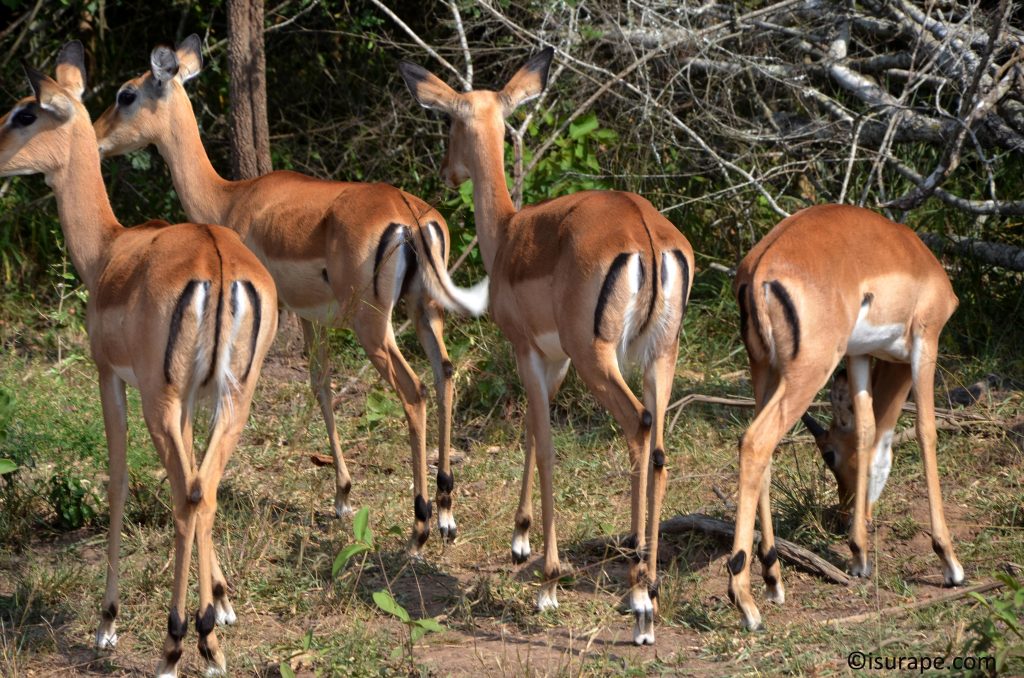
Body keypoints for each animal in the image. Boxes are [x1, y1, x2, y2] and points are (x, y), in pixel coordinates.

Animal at [0, 43, 278, 676]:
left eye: (24, 113)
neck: (108, 251)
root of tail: (218, 262)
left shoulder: (111, 378)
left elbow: (119, 480)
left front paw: (107, 624)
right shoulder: (193, 400)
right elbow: (199, 482)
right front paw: (220, 603)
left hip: (160, 397)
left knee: (184, 495)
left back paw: (176, 645)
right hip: (232, 397)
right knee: (205, 488)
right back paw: (209, 642)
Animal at [95, 36, 487, 552]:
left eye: (126, 94)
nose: (96, 137)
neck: (230, 198)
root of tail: (410, 217)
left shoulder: (281, 312)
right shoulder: (311, 315)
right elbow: (321, 384)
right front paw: (342, 496)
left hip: (373, 325)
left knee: (415, 391)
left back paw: (419, 526)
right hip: (425, 310)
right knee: (444, 373)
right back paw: (445, 514)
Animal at [400, 48, 695, 645]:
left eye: (448, 122)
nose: (446, 171)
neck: (511, 233)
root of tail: (648, 236)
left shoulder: (528, 352)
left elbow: (546, 444)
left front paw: (547, 583)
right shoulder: (552, 361)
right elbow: (534, 436)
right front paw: (520, 540)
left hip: (599, 361)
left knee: (638, 429)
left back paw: (639, 603)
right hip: (660, 358)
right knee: (658, 450)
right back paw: (647, 590)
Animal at [728, 204, 965, 631]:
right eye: (828, 457)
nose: (841, 516)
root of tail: (759, 268)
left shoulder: (859, 354)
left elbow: (868, 430)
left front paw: (859, 555)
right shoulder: (926, 340)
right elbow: (926, 431)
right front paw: (949, 560)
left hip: (764, 371)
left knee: (761, 450)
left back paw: (773, 581)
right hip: (808, 370)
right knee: (755, 442)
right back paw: (746, 603)